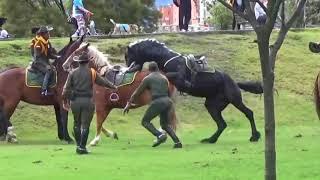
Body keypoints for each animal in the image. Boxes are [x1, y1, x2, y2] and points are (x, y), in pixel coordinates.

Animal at [124, 38, 262, 143]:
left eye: (128, 56)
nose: (127, 68)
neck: (167, 58)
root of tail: (234, 83)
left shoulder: (178, 78)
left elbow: (169, 75)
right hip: (212, 105)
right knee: (222, 124)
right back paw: (210, 139)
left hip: (235, 100)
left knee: (249, 113)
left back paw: (254, 136)